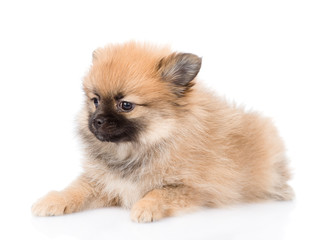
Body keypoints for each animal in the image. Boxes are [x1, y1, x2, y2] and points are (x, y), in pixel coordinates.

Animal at [32, 41, 292, 223]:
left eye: (125, 105)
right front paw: (53, 200)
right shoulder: (105, 183)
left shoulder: (193, 189)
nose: (96, 121)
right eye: (95, 101)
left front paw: (145, 207)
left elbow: (160, 192)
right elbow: (76, 189)